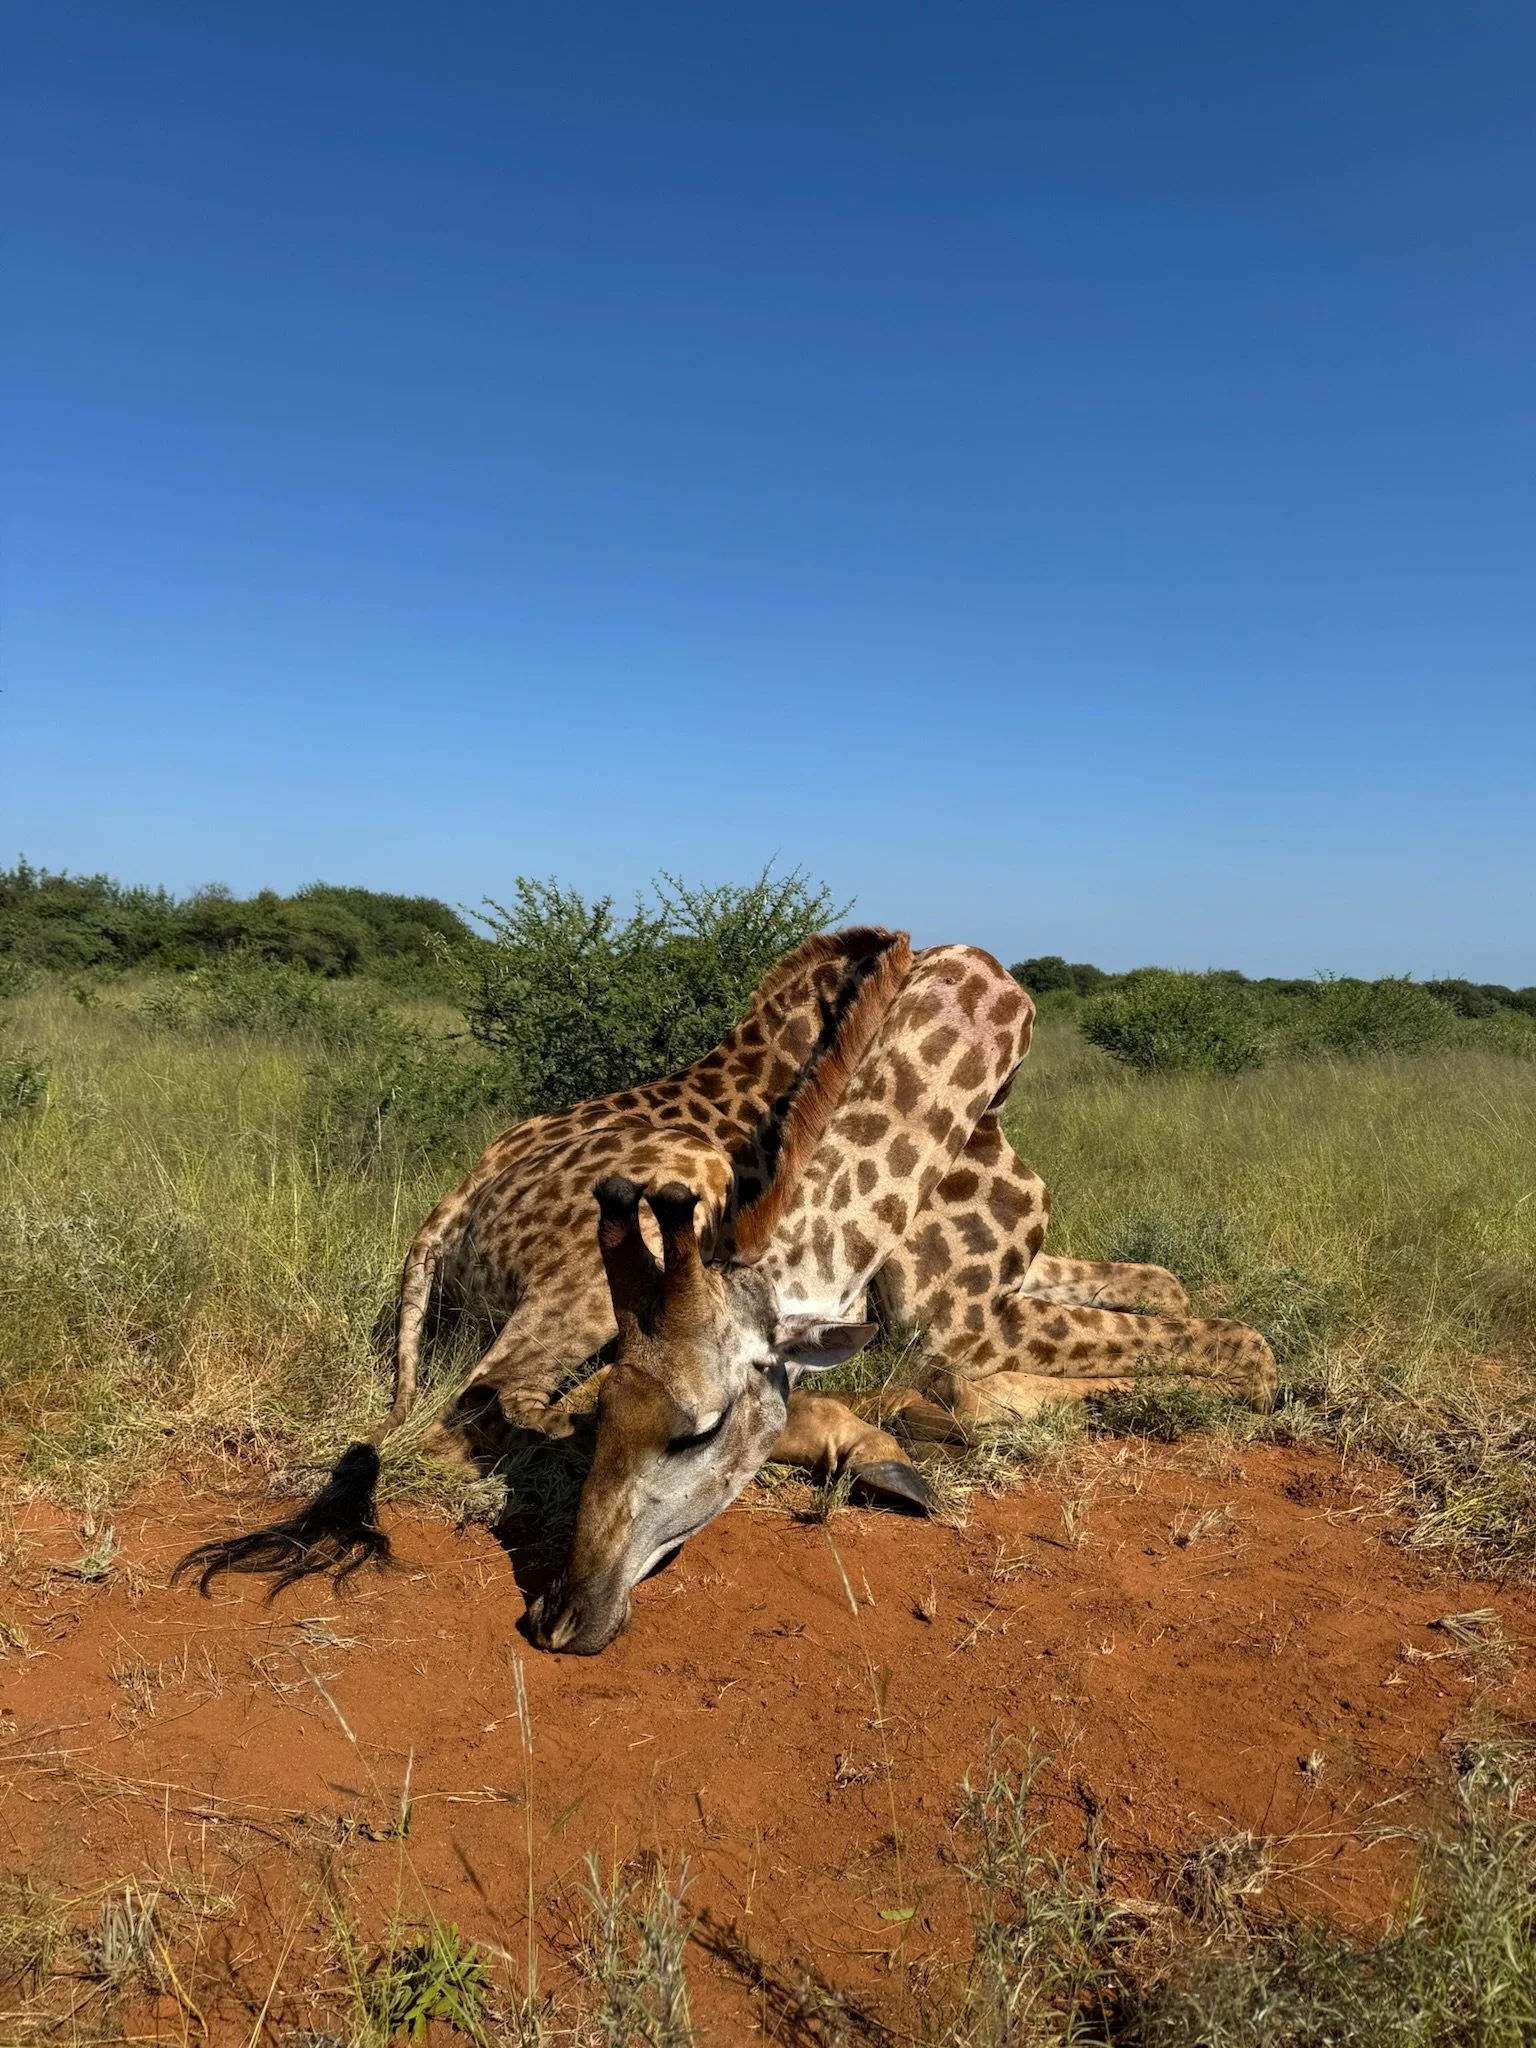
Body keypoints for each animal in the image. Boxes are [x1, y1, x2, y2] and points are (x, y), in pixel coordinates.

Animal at [176, 930, 1275, 1646]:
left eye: (697, 1431)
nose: (558, 1616)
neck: (976, 1077)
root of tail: (451, 1205)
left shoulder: (997, 1279)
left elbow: (1174, 1289)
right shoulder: (959, 1316)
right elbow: (1247, 1349)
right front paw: (956, 1411)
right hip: (617, 1246)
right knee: (476, 1408)